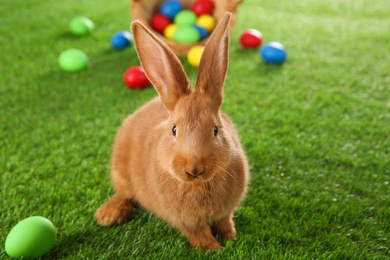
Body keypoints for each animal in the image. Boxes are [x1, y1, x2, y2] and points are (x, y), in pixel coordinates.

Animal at [96, 12, 251, 252]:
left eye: (216, 129)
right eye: (174, 129)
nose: (194, 168)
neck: (198, 184)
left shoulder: (226, 211)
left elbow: (225, 221)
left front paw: (231, 237)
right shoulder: (184, 221)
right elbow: (199, 234)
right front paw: (214, 249)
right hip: (119, 173)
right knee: (123, 194)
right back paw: (107, 215)